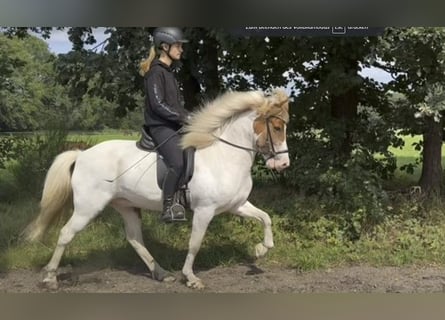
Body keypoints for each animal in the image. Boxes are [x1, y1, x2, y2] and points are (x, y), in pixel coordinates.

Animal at [26, 88, 292, 290]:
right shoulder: (205, 211)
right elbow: (195, 243)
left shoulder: (236, 205)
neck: (224, 155)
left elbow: (266, 218)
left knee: (134, 239)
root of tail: (81, 155)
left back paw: (161, 273)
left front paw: (260, 250)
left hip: (126, 206)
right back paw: (50, 278)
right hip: (87, 207)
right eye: (277, 127)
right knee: (65, 234)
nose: (283, 164)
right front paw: (191, 278)